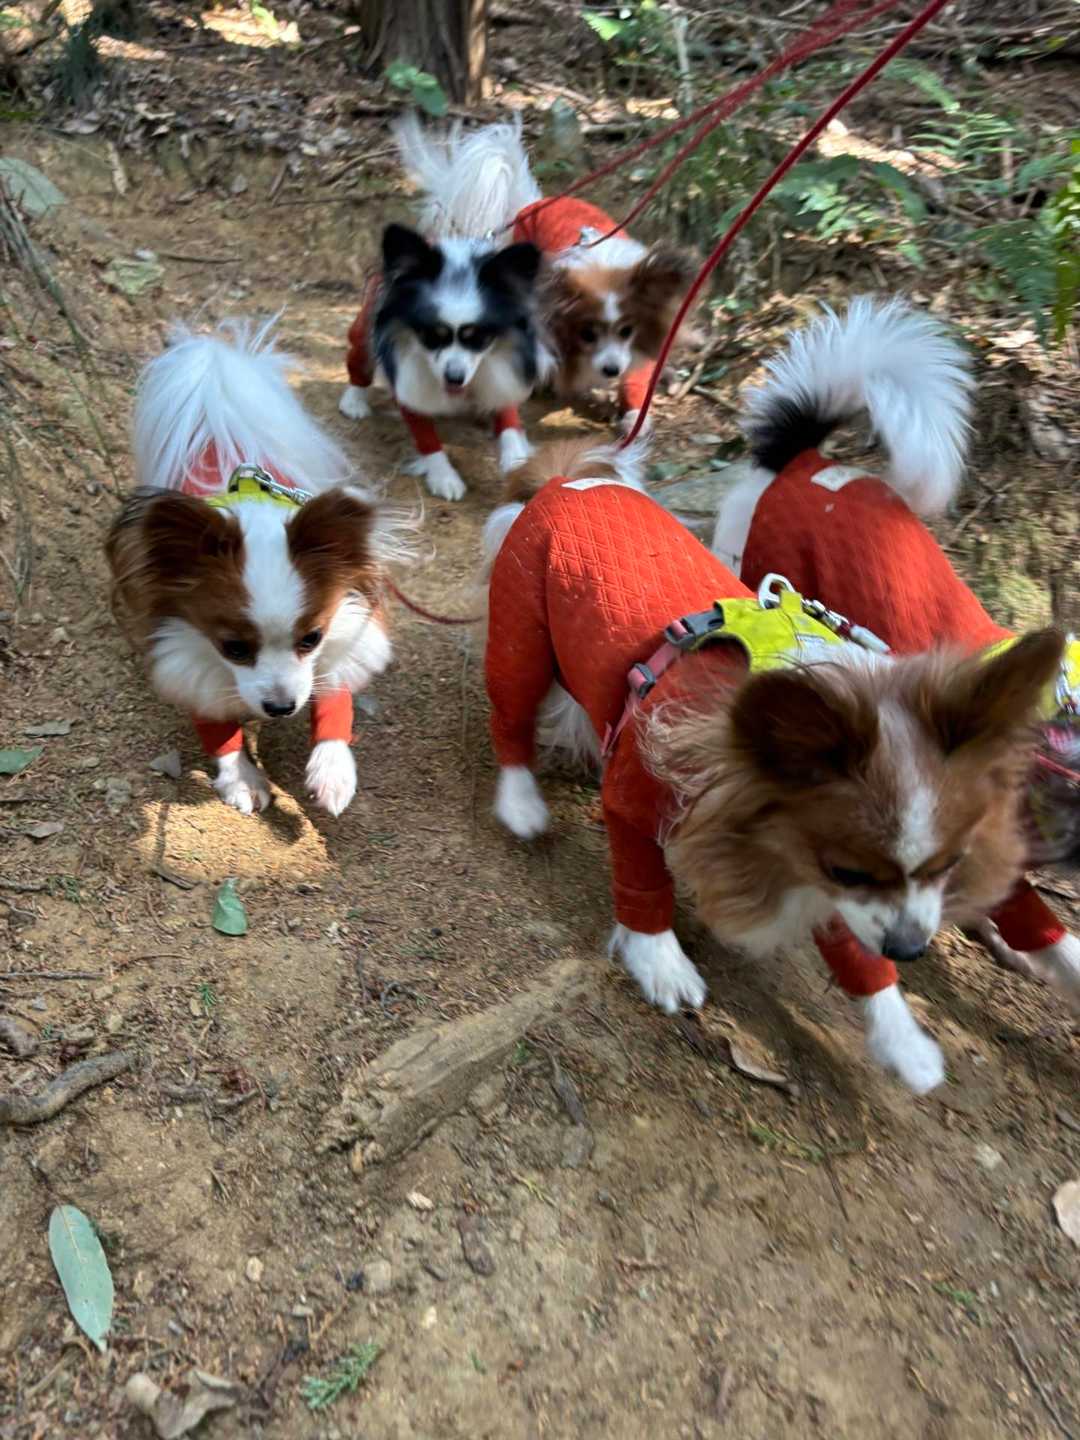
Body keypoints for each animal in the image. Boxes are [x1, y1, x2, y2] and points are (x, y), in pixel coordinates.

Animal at [107, 319, 409, 818]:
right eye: (233, 648)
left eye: (311, 639)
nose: (281, 707)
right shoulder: (188, 652)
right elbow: (217, 726)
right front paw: (241, 777)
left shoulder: (344, 624)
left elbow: (335, 698)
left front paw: (332, 769)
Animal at [340, 117, 547, 503]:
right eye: (430, 336)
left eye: (480, 338)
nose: (454, 377)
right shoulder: (410, 386)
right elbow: (427, 440)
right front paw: (444, 477)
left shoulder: (501, 372)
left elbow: (510, 423)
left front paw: (515, 459)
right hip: (364, 330)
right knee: (359, 358)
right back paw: (354, 400)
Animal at [386, 114, 698, 436]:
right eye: (587, 333)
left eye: (627, 331)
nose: (611, 370)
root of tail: (533, 202)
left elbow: (636, 379)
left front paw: (634, 415)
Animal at [483, 431, 1063, 1095]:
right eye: (848, 869)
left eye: (949, 865)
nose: (911, 950)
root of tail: (564, 481)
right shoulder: (637, 804)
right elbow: (642, 887)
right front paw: (661, 962)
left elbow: (860, 961)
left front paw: (903, 1041)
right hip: (521, 639)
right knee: (510, 715)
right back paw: (521, 803)